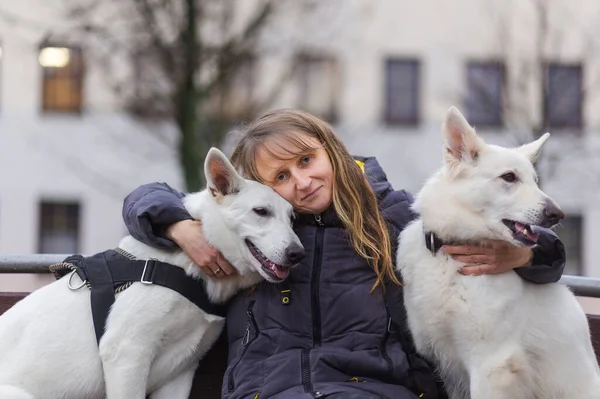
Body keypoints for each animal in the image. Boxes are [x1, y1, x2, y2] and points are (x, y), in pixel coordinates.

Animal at [0, 149, 304, 399]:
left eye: (292, 219)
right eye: (261, 212)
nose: (297, 254)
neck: (184, 266)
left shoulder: (180, 373)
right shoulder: (127, 355)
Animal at [398, 107, 600, 399]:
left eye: (535, 181)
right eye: (509, 177)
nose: (558, 214)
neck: (450, 255)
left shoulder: (491, 365)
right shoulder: (450, 370)